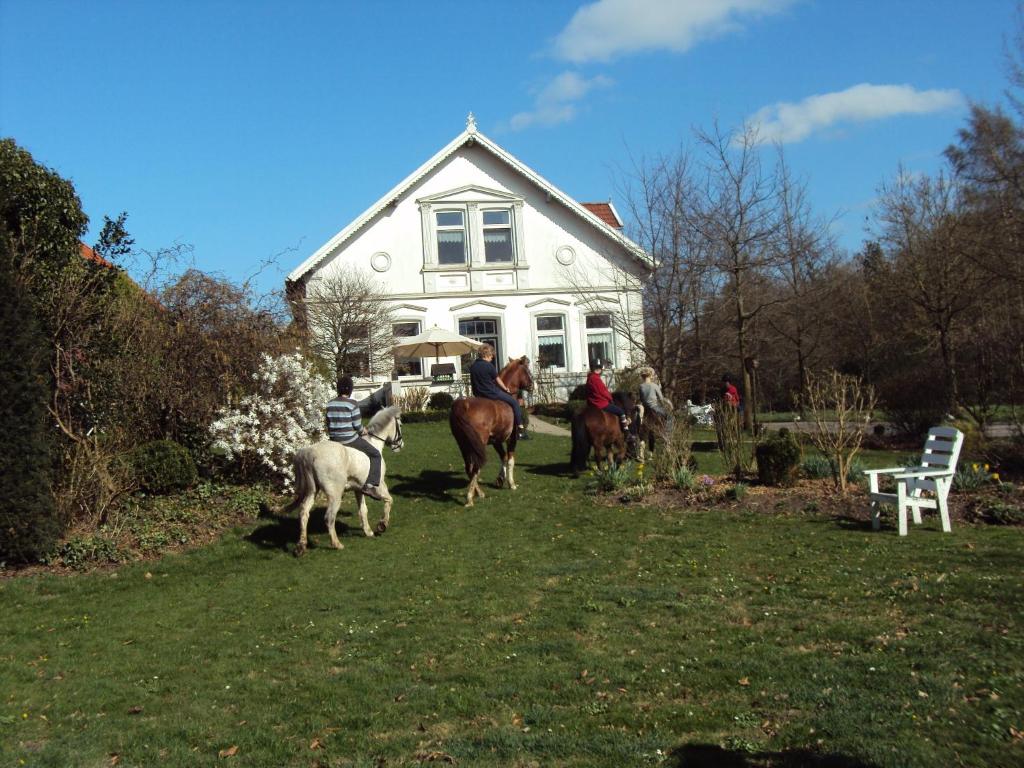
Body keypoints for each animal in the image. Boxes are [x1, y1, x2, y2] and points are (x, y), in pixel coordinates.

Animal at [286, 405, 405, 557]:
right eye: (400, 425)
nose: (400, 445)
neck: (374, 443)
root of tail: (310, 453)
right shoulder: (380, 486)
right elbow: (389, 500)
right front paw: (381, 525)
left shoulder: (358, 489)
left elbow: (363, 510)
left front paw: (368, 531)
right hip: (335, 495)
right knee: (329, 517)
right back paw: (336, 544)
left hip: (312, 491)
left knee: (303, 513)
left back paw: (301, 546)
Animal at [450, 358, 536, 507]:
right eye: (527, 370)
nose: (533, 385)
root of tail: (462, 405)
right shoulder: (511, 439)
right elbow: (510, 460)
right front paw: (511, 483)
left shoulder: (496, 441)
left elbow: (503, 457)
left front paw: (500, 479)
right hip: (478, 444)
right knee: (475, 467)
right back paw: (470, 498)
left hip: (463, 444)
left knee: (469, 467)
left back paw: (478, 493)